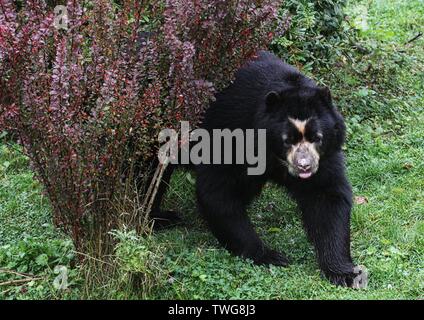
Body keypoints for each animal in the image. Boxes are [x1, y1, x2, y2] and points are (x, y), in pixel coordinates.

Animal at [151, 50, 366, 288]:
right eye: (287, 140)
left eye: (317, 137)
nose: (305, 167)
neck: (272, 155)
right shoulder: (229, 134)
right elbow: (218, 191)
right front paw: (269, 255)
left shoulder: (325, 156)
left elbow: (326, 196)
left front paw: (345, 273)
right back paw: (161, 217)